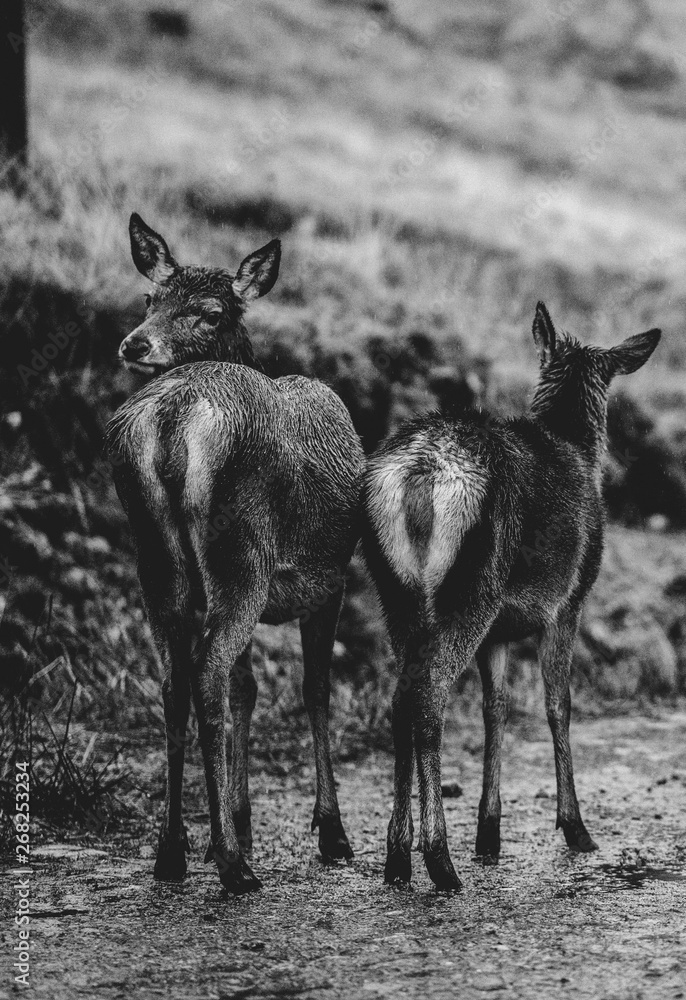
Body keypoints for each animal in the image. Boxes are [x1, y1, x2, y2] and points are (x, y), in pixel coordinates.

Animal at [109, 213, 366, 892]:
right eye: (150, 298)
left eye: (208, 311)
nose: (135, 345)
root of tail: (172, 422)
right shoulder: (330, 579)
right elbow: (314, 689)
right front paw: (331, 832)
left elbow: (248, 689)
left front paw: (244, 823)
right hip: (241, 552)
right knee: (205, 671)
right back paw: (229, 865)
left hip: (158, 556)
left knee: (176, 677)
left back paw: (174, 849)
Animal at [362, 304, 664, 892]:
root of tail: (418, 477)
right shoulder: (568, 601)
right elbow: (557, 704)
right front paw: (575, 828)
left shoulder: (501, 630)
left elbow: (495, 708)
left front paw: (490, 833)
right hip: (471, 587)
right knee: (427, 700)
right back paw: (439, 860)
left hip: (396, 591)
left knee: (400, 699)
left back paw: (398, 857)